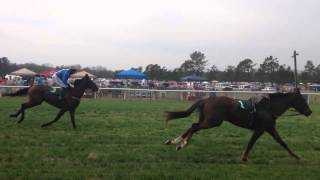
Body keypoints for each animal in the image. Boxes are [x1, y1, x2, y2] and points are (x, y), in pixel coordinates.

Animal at [165, 89, 312, 161]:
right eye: (302, 100)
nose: (309, 112)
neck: (268, 107)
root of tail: (207, 99)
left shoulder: (270, 128)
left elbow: (282, 142)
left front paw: (296, 156)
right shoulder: (260, 130)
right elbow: (251, 143)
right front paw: (244, 157)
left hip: (208, 120)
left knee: (193, 125)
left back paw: (175, 142)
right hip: (213, 122)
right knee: (195, 127)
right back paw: (181, 143)